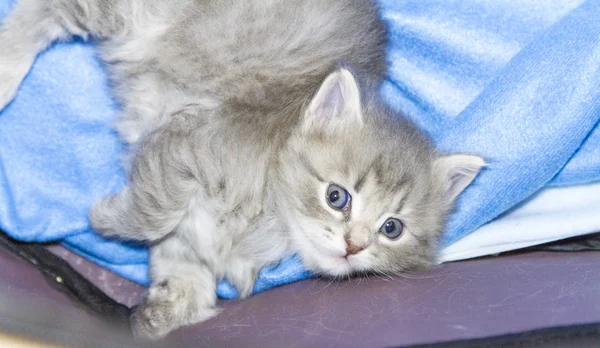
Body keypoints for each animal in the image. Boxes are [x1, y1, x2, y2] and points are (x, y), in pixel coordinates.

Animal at [0, 0, 482, 342]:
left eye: (392, 228)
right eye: (337, 196)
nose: (353, 246)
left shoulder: (190, 226)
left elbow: (184, 265)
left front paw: (165, 312)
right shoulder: (184, 143)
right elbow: (153, 213)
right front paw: (102, 217)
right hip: (134, 15)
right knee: (47, 8)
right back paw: (7, 67)